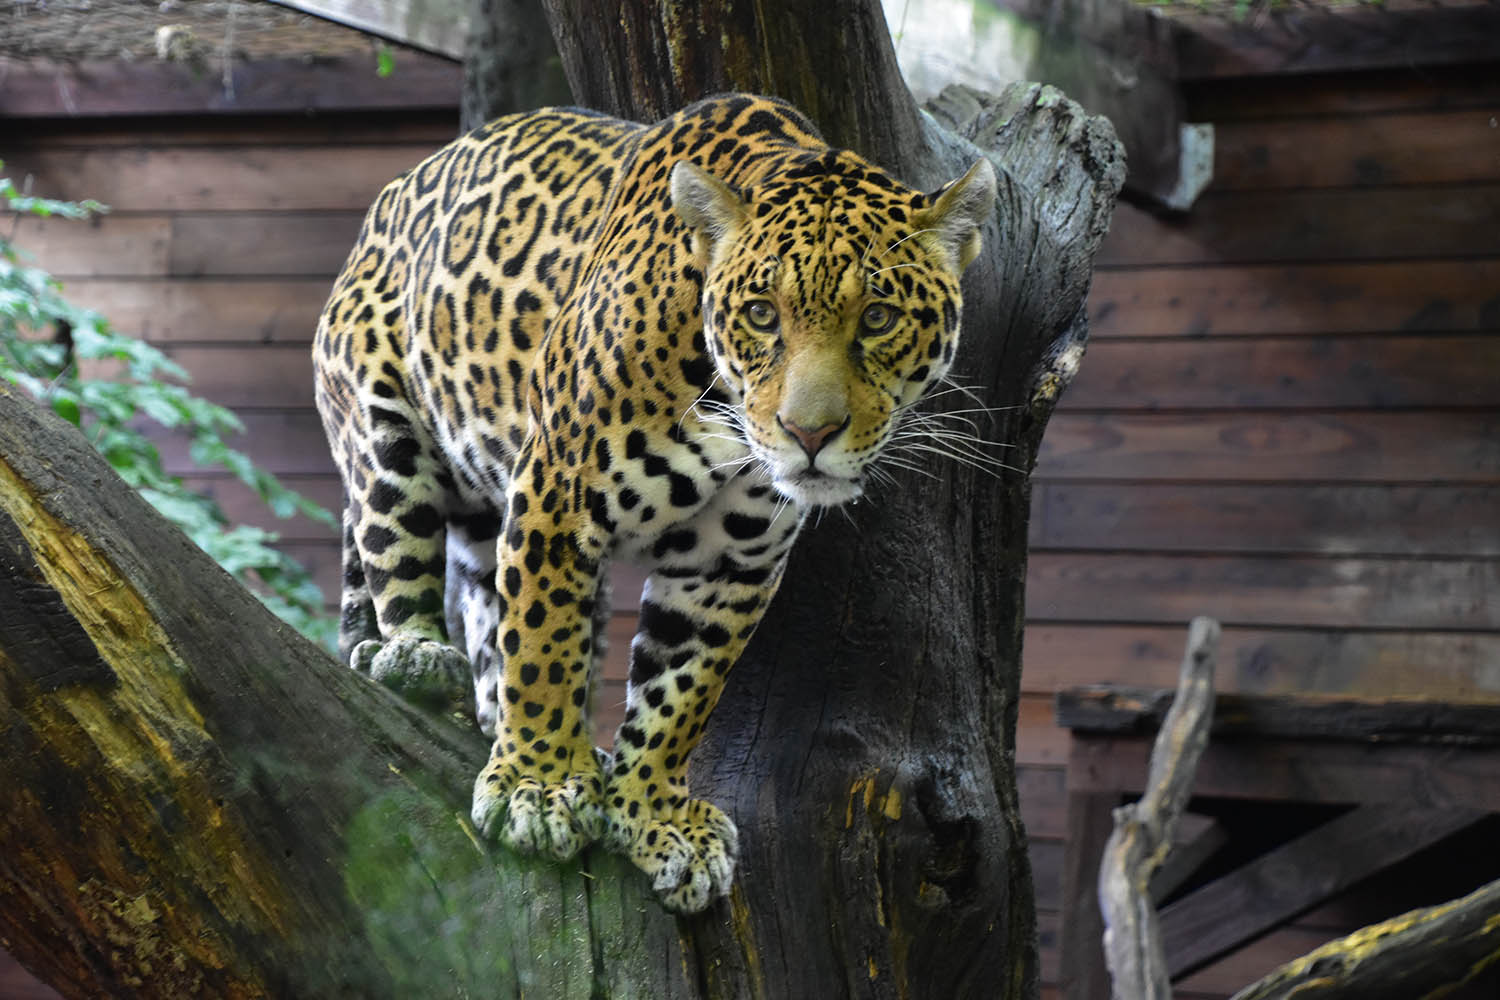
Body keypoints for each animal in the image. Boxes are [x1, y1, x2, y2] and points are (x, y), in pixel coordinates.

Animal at [312, 93, 996, 914]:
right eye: (762, 314)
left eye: (879, 319)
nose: (809, 433)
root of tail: (390, 194)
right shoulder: (554, 499)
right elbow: (544, 643)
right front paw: (539, 786)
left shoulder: (730, 565)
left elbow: (682, 691)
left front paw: (653, 814)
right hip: (381, 426)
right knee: (390, 540)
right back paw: (414, 654)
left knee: (480, 584)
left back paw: (492, 711)